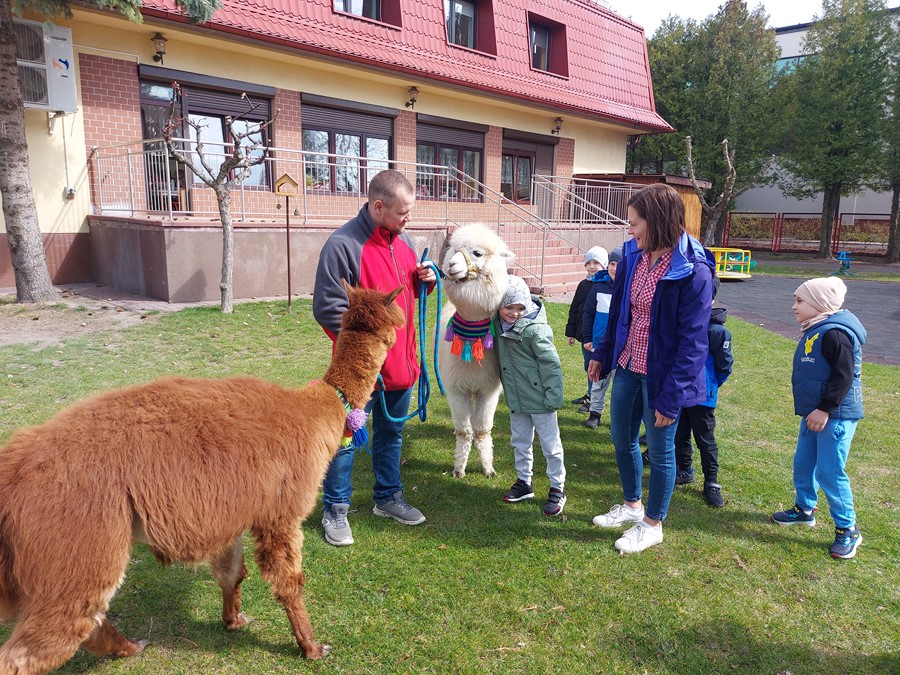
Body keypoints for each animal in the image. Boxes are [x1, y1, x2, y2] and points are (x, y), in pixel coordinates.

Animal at [0, 281, 404, 675]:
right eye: (399, 319)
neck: (318, 411)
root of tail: (14, 468)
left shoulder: (231, 513)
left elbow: (231, 573)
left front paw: (233, 620)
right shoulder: (281, 513)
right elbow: (289, 583)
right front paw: (311, 647)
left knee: (88, 621)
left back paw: (129, 647)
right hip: (75, 543)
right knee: (36, 647)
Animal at [437, 224, 514, 477]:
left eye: (477, 253)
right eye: (454, 251)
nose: (451, 265)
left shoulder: (488, 390)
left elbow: (481, 430)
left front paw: (488, 468)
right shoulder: (455, 388)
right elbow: (465, 431)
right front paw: (459, 469)